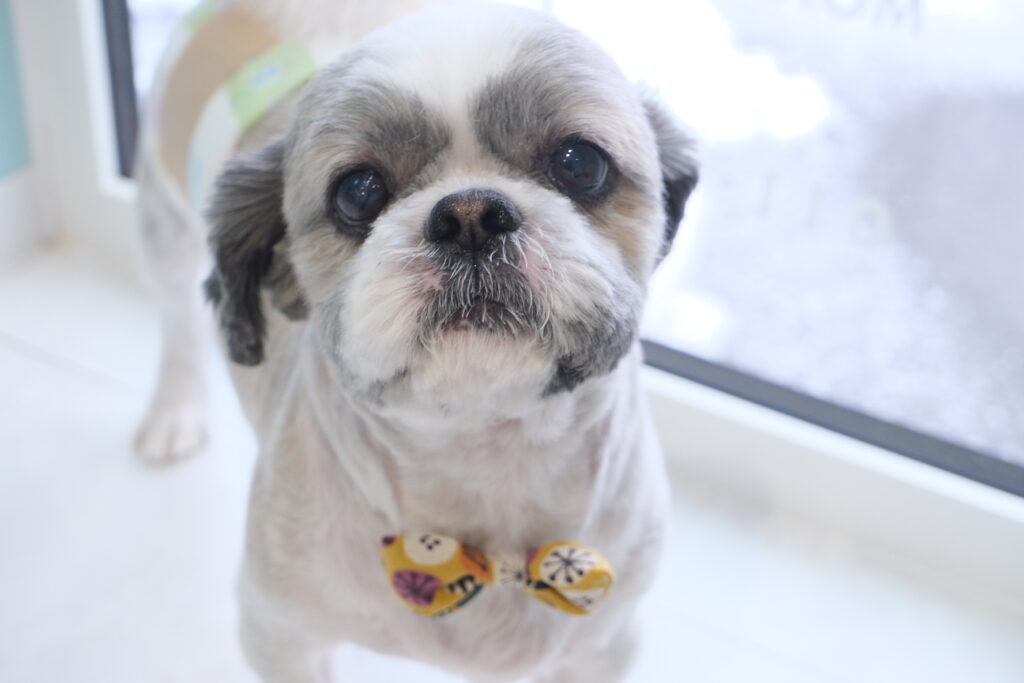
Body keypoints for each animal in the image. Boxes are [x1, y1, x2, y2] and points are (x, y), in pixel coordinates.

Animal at [134, 1, 697, 681]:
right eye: (358, 191)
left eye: (579, 162)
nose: (471, 215)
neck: (485, 458)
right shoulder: (279, 632)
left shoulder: (604, 644)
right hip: (161, 224)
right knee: (177, 325)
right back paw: (174, 411)